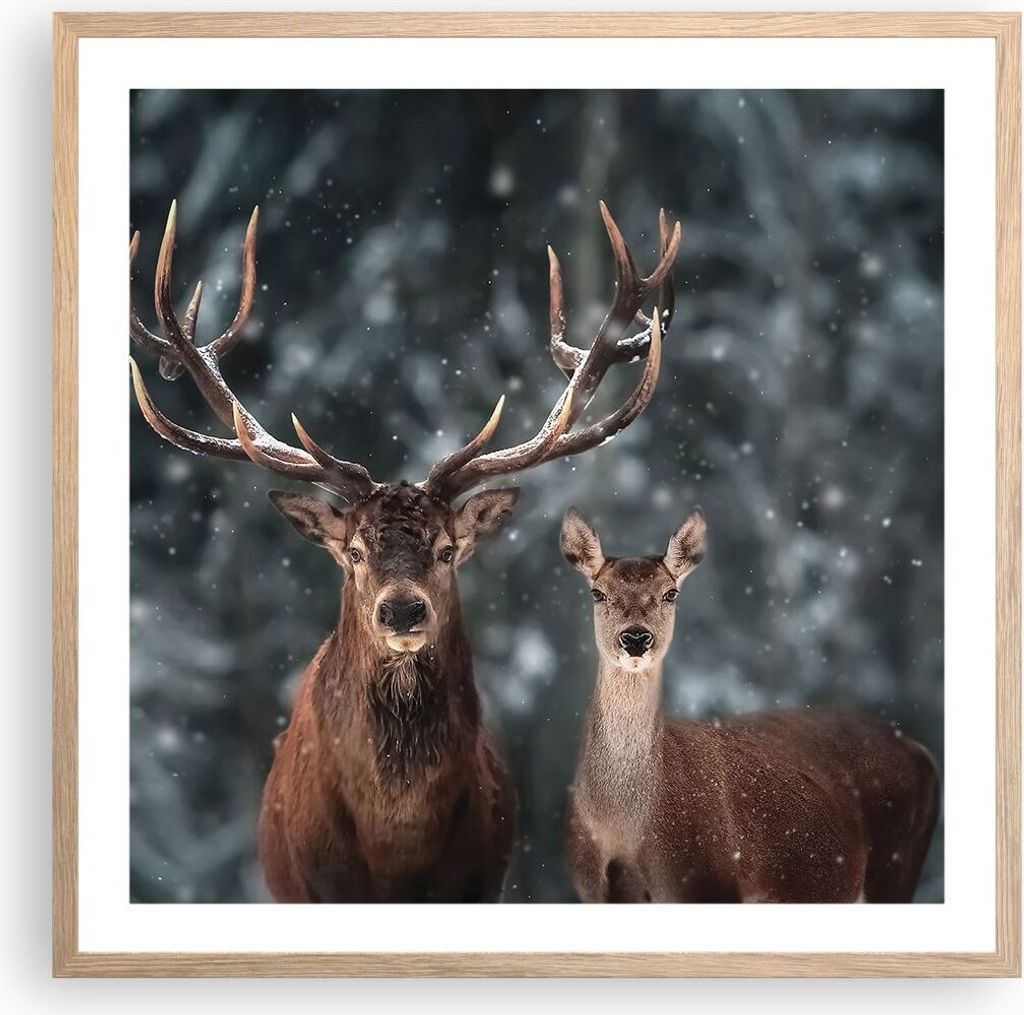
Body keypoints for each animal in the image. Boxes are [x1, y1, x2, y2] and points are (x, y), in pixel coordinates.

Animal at [560, 508, 940, 903]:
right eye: (597, 592)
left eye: (670, 593)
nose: (635, 637)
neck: (625, 828)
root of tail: (921, 750)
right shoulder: (591, 889)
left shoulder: (708, 882)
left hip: (895, 866)